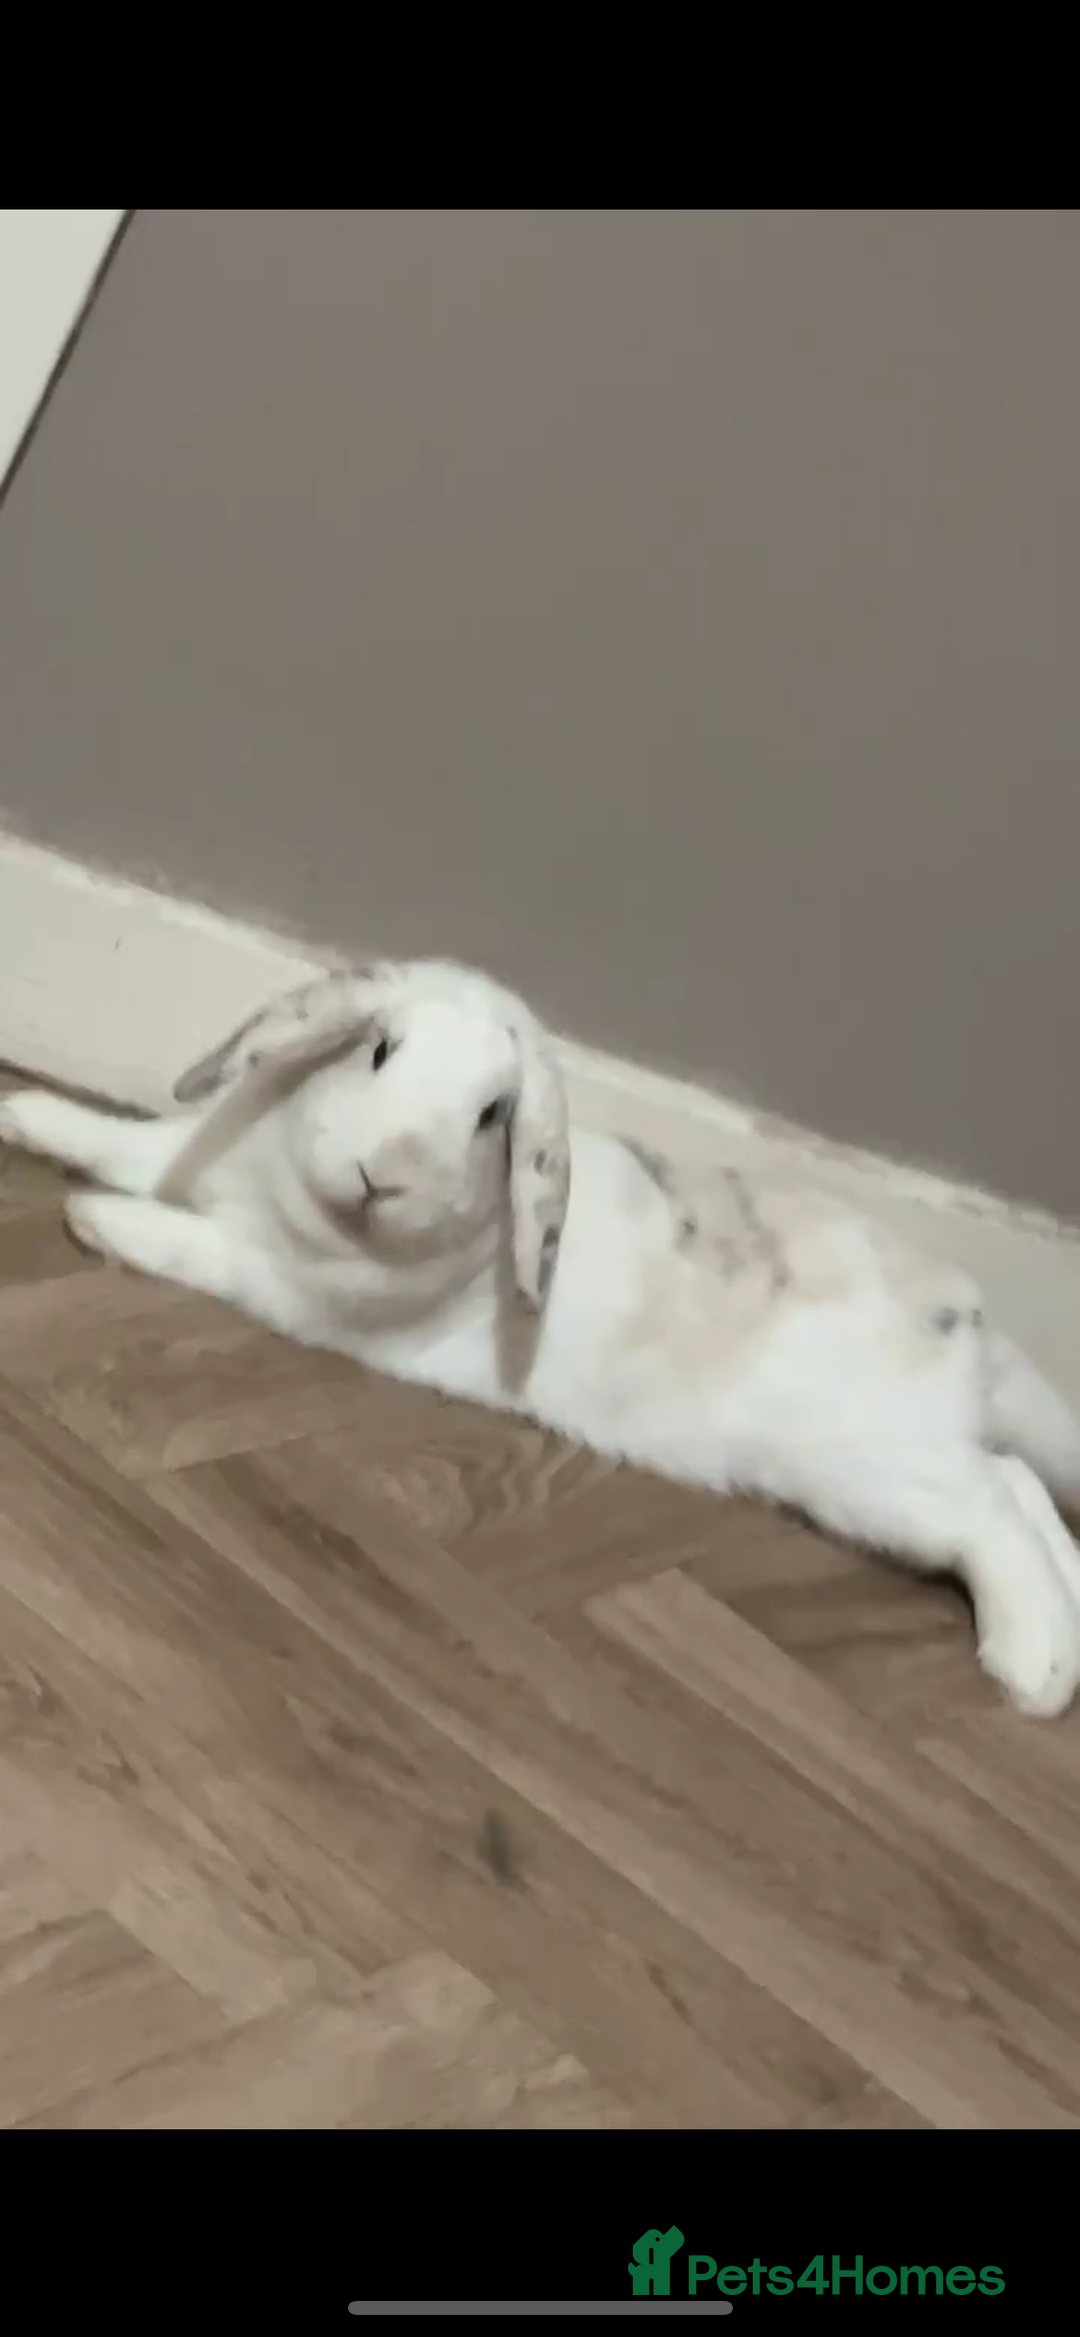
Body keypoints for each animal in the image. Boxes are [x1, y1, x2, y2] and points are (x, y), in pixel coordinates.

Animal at [3, 952, 1080, 1721]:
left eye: (492, 1116)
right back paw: (1063, 1643)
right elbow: (128, 1142)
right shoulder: (194, 1159)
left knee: (990, 1517)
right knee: (1019, 1489)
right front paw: (26, 1115)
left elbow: (193, 1245)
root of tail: (972, 1328)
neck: (304, 1203)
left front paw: (94, 1221)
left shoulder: (284, 1285)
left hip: (871, 1473)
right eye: (378, 1050)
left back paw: (1028, 1668)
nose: (382, 1172)